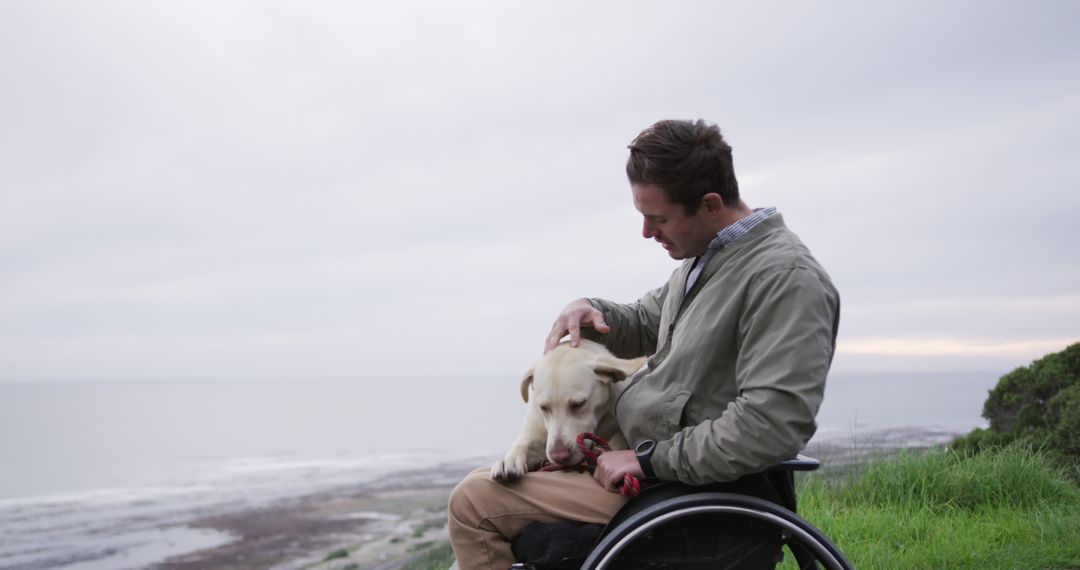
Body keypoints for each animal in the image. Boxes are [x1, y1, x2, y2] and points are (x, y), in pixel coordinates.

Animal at [492, 338, 648, 481]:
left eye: (578, 404)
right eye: (543, 407)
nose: (559, 457)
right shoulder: (533, 432)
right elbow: (522, 444)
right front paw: (508, 460)